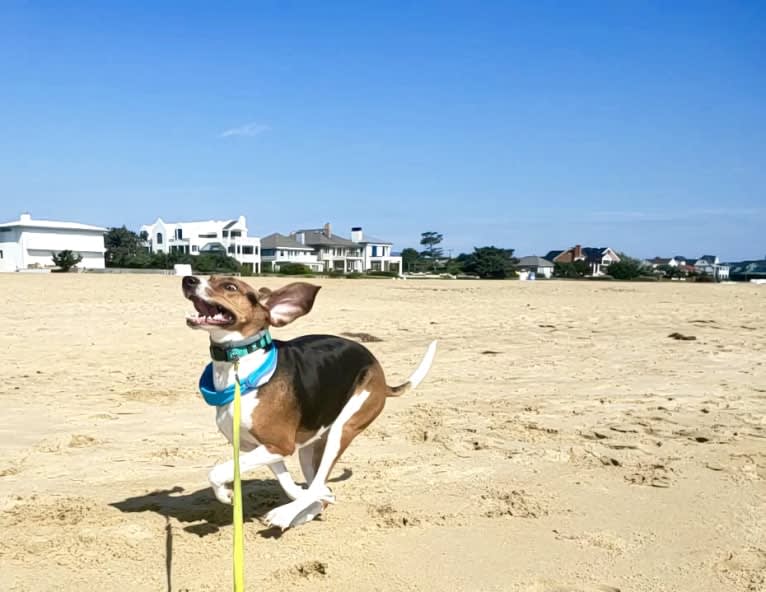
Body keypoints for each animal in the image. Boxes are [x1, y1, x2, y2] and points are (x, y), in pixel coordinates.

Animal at [181, 276, 440, 528]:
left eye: (230, 286)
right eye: (210, 277)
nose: (188, 279)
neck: (240, 368)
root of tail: (380, 374)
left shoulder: (280, 445)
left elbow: (217, 471)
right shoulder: (262, 448)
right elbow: (290, 485)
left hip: (343, 429)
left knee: (318, 481)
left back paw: (285, 514)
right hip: (309, 447)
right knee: (318, 486)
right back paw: (304, 512)